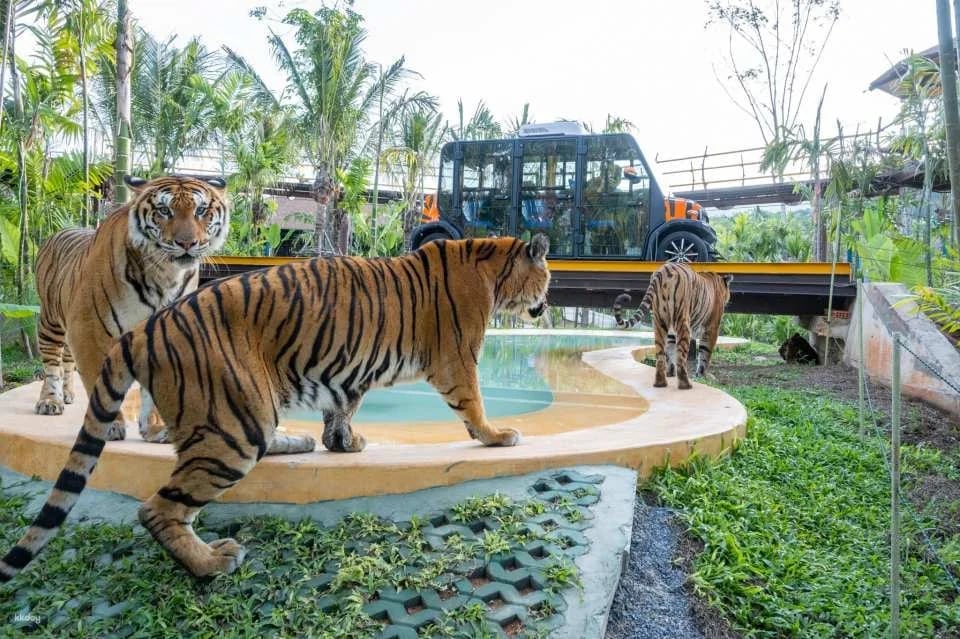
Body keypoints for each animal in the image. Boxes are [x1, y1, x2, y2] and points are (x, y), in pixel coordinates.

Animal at [0, 235, 551, 581]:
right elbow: (473, 405)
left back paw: (294, 444)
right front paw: (498, 436)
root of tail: (149, 327)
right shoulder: (458, 359)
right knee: (158, 508)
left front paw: (342, 442)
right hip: (236, 428)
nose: (546, 304)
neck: (491, 266)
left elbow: (343, 406)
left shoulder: (348, 369)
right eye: (546, 279)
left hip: (235, 417)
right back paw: (210, 565)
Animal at [33, 175, 229, 443]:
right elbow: (101, 387)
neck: (166, 274)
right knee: (52, 363)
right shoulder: (88, 330)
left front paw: (156, 428)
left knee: (67, 360)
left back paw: (68, 394)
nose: (187, 243)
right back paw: (51, 401)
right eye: (164, 210)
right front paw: (109, 427)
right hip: (50, 323)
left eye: (200, 210)